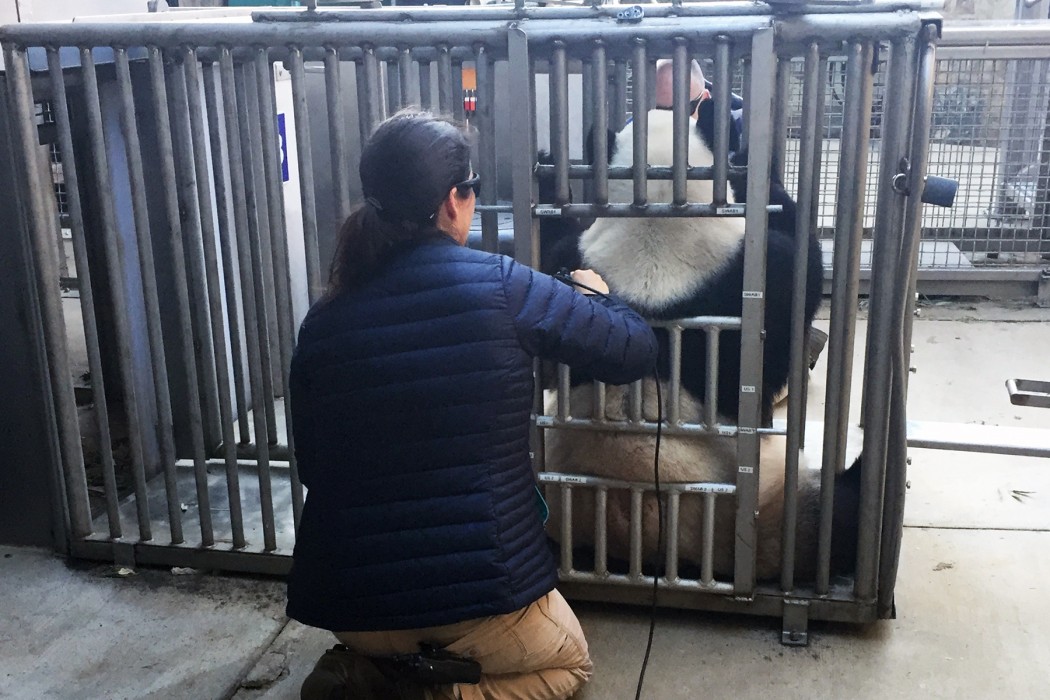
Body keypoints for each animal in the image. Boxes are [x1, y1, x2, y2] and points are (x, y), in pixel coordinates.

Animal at [537, 65, 865, 583]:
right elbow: (791, 295)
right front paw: (755, 166)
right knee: (836, 517)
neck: (657, 221)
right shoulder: (747, 282)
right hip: (766, 512)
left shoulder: (573, 266)